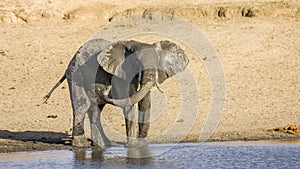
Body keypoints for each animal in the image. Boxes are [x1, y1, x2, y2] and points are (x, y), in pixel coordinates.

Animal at [43, 37, 189, 147]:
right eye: (137, 62)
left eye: (158, 62)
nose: (106, 89)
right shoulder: (120, 73)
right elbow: (129, 102)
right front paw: (133, 146)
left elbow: (145, 103)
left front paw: (142, 145)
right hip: (75, 74)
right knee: (82, 106)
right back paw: (81, 145)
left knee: (96, 110)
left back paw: (103, 144)